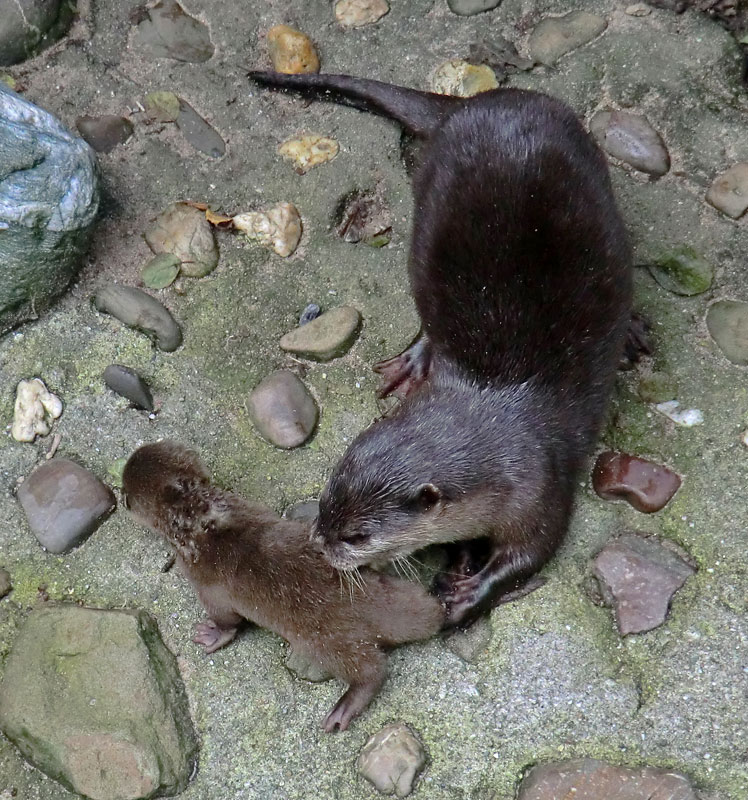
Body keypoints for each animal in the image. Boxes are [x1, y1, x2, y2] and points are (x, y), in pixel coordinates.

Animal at [120, 440, 442, 736]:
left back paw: (344, 707)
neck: (200, 522)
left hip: (326, 642)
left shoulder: (204, 583)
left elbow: (228, 620)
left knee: (372, 670)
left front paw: (211, 633)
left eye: (125, 494)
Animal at [250, 72, 644, 628]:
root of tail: (480, 102)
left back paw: (632, 332)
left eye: (357, 536)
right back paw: (413, 362)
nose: (319, 543)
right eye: (325, 498)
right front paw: (461, 562)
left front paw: (468, 594)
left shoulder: (541, 483)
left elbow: (533, 551)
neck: (493, 408)